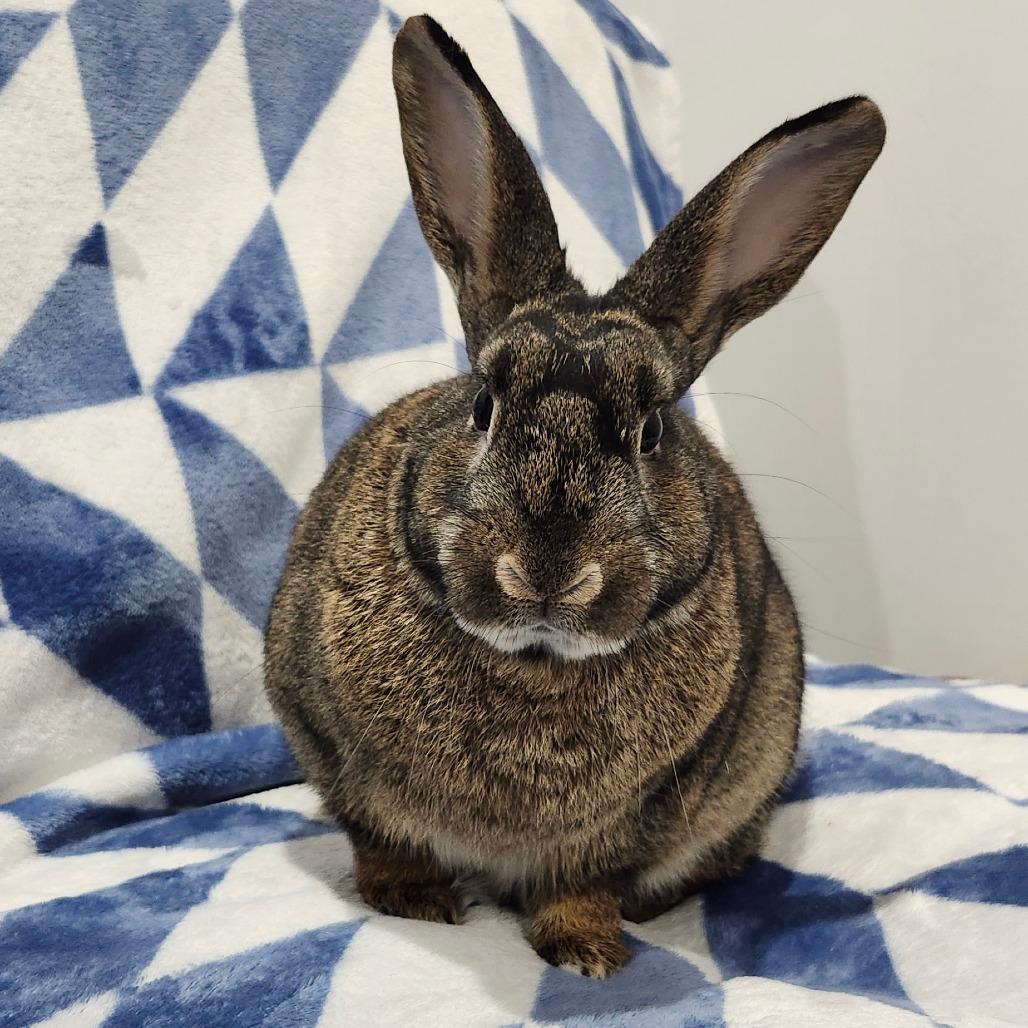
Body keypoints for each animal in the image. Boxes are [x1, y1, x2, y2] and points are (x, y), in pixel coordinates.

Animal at [265, 14, 885, 979]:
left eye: (651, 432)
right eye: (483, 405)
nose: (548, 573)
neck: (535, 660)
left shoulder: (651, 808)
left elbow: (585, 884)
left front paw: (587, 954)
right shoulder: (328, 745)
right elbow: (383, 840)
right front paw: (415, 904)